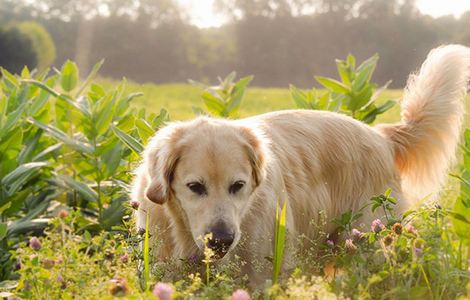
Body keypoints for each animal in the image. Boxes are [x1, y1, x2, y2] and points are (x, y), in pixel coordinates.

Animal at [131, 44, 470, 284]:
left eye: (238, 186)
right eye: (195, 187)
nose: (222, 240)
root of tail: (381, 135)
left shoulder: (263, 274)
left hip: (369, 241)